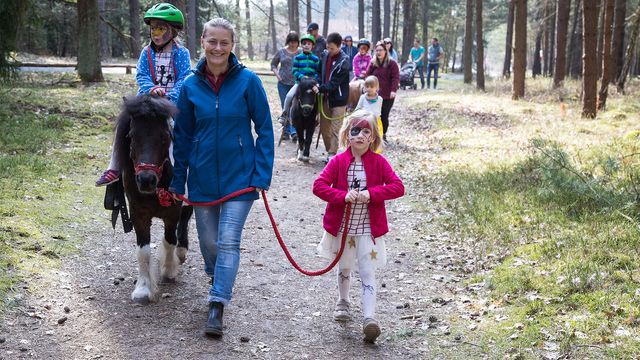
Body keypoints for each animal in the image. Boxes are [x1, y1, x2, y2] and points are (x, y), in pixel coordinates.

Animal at [114, 95, 192, 304]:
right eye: (132, 136)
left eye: (165, 137)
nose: (146, 180)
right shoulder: (138, 213)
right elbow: (143, 252)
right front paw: (143, 290)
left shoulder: (172, 212)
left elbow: (169, 240)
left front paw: (169, 270)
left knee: (186, 218)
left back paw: (181, 251)